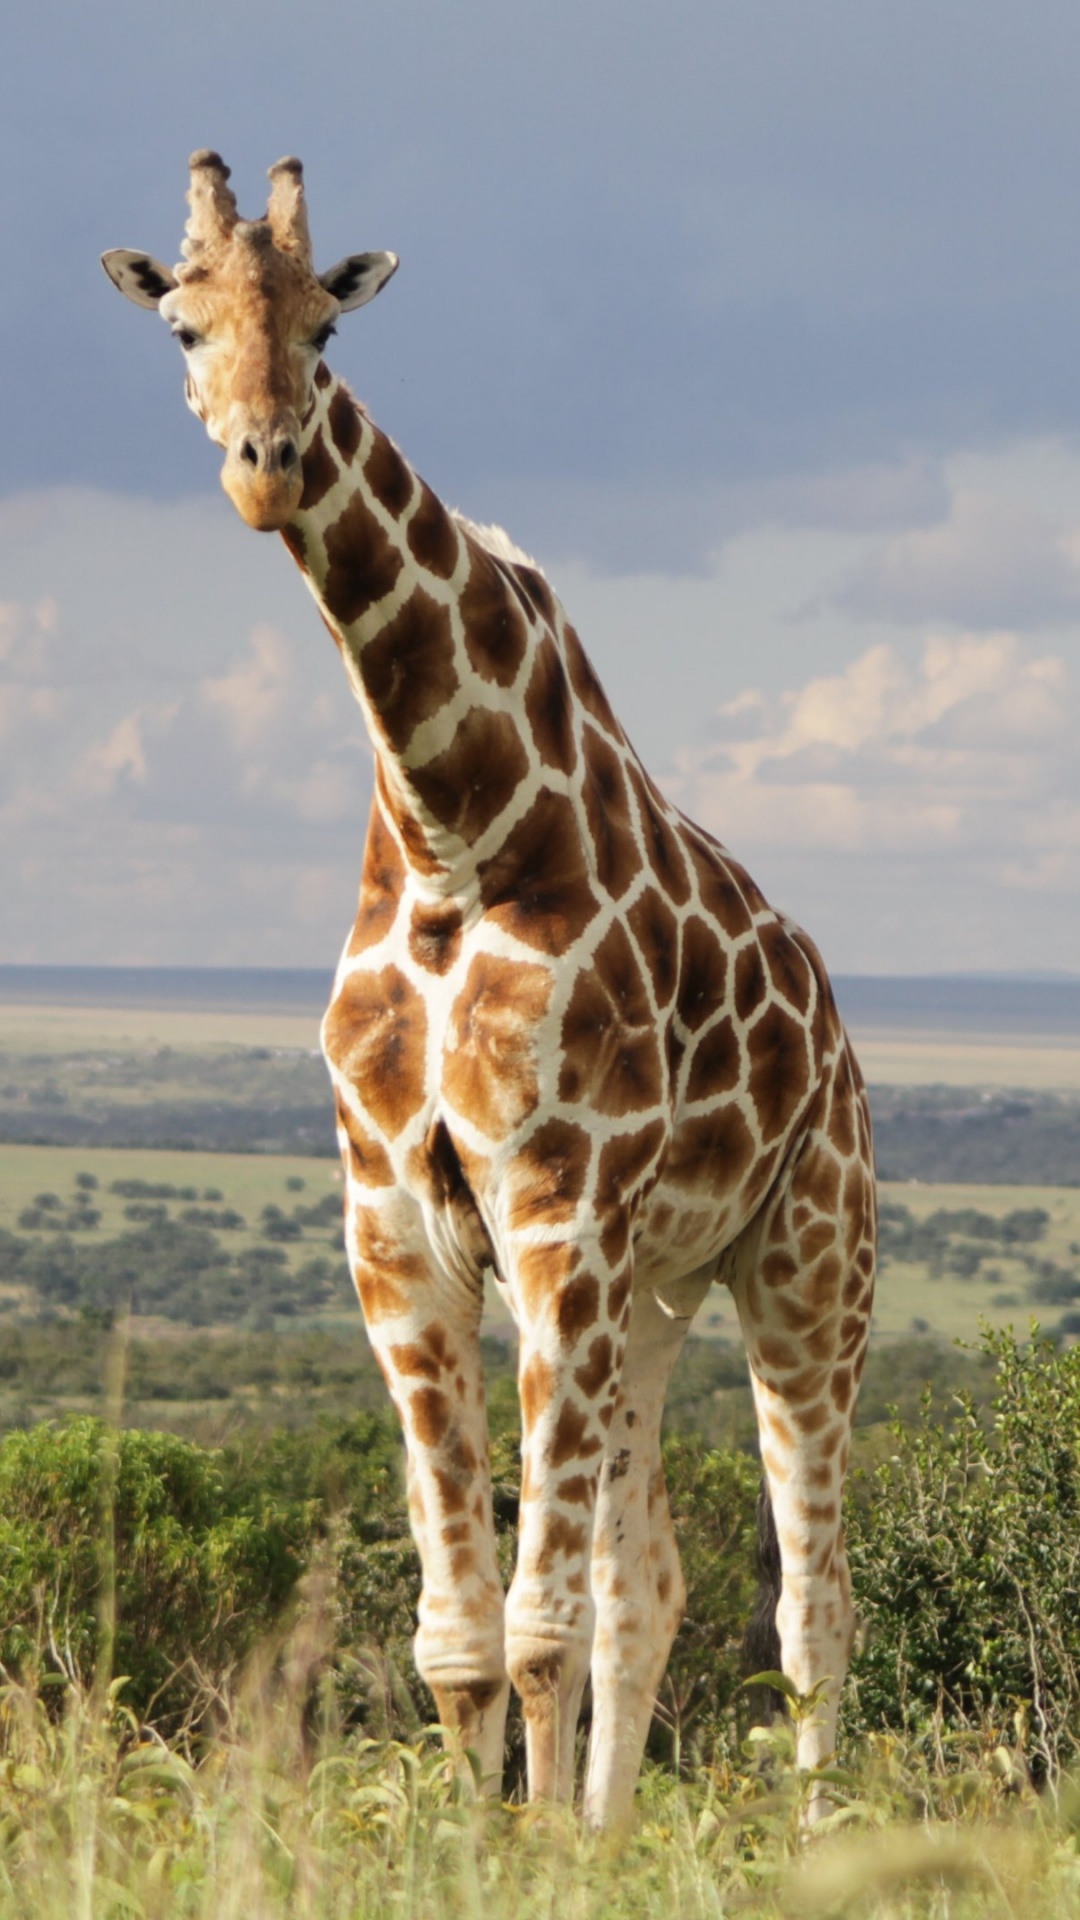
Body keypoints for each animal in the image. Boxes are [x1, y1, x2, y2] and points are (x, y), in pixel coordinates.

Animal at [103, 152, 876, 1827]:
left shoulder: (553, 1200)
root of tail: (839, 1027)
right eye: (185, 327)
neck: (455, 826)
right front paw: (495, 1848)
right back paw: (611, 1829)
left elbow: (537, 1621)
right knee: (654, 1577)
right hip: (654, 1293)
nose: (265, 466)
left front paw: (527, 1851)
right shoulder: (396, 1222)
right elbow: (458, 1633)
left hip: (807, 1260)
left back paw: (805, 1837)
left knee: (811, 1600)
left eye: (327, 325)